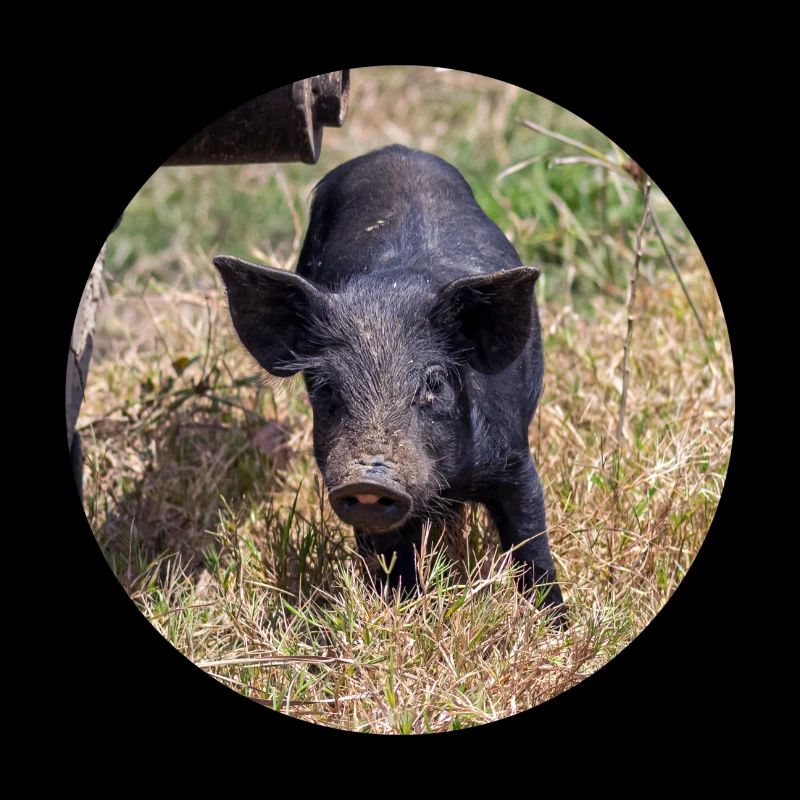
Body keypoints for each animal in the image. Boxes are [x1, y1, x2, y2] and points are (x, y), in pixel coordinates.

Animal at [214, 145, 565, 622]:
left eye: (433, 383)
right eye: (326, 388)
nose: (369, 480)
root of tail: (393, 151)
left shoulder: (514, 458)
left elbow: (531, 544)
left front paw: (558, 625)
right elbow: (392, 561)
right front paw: (405, 613)